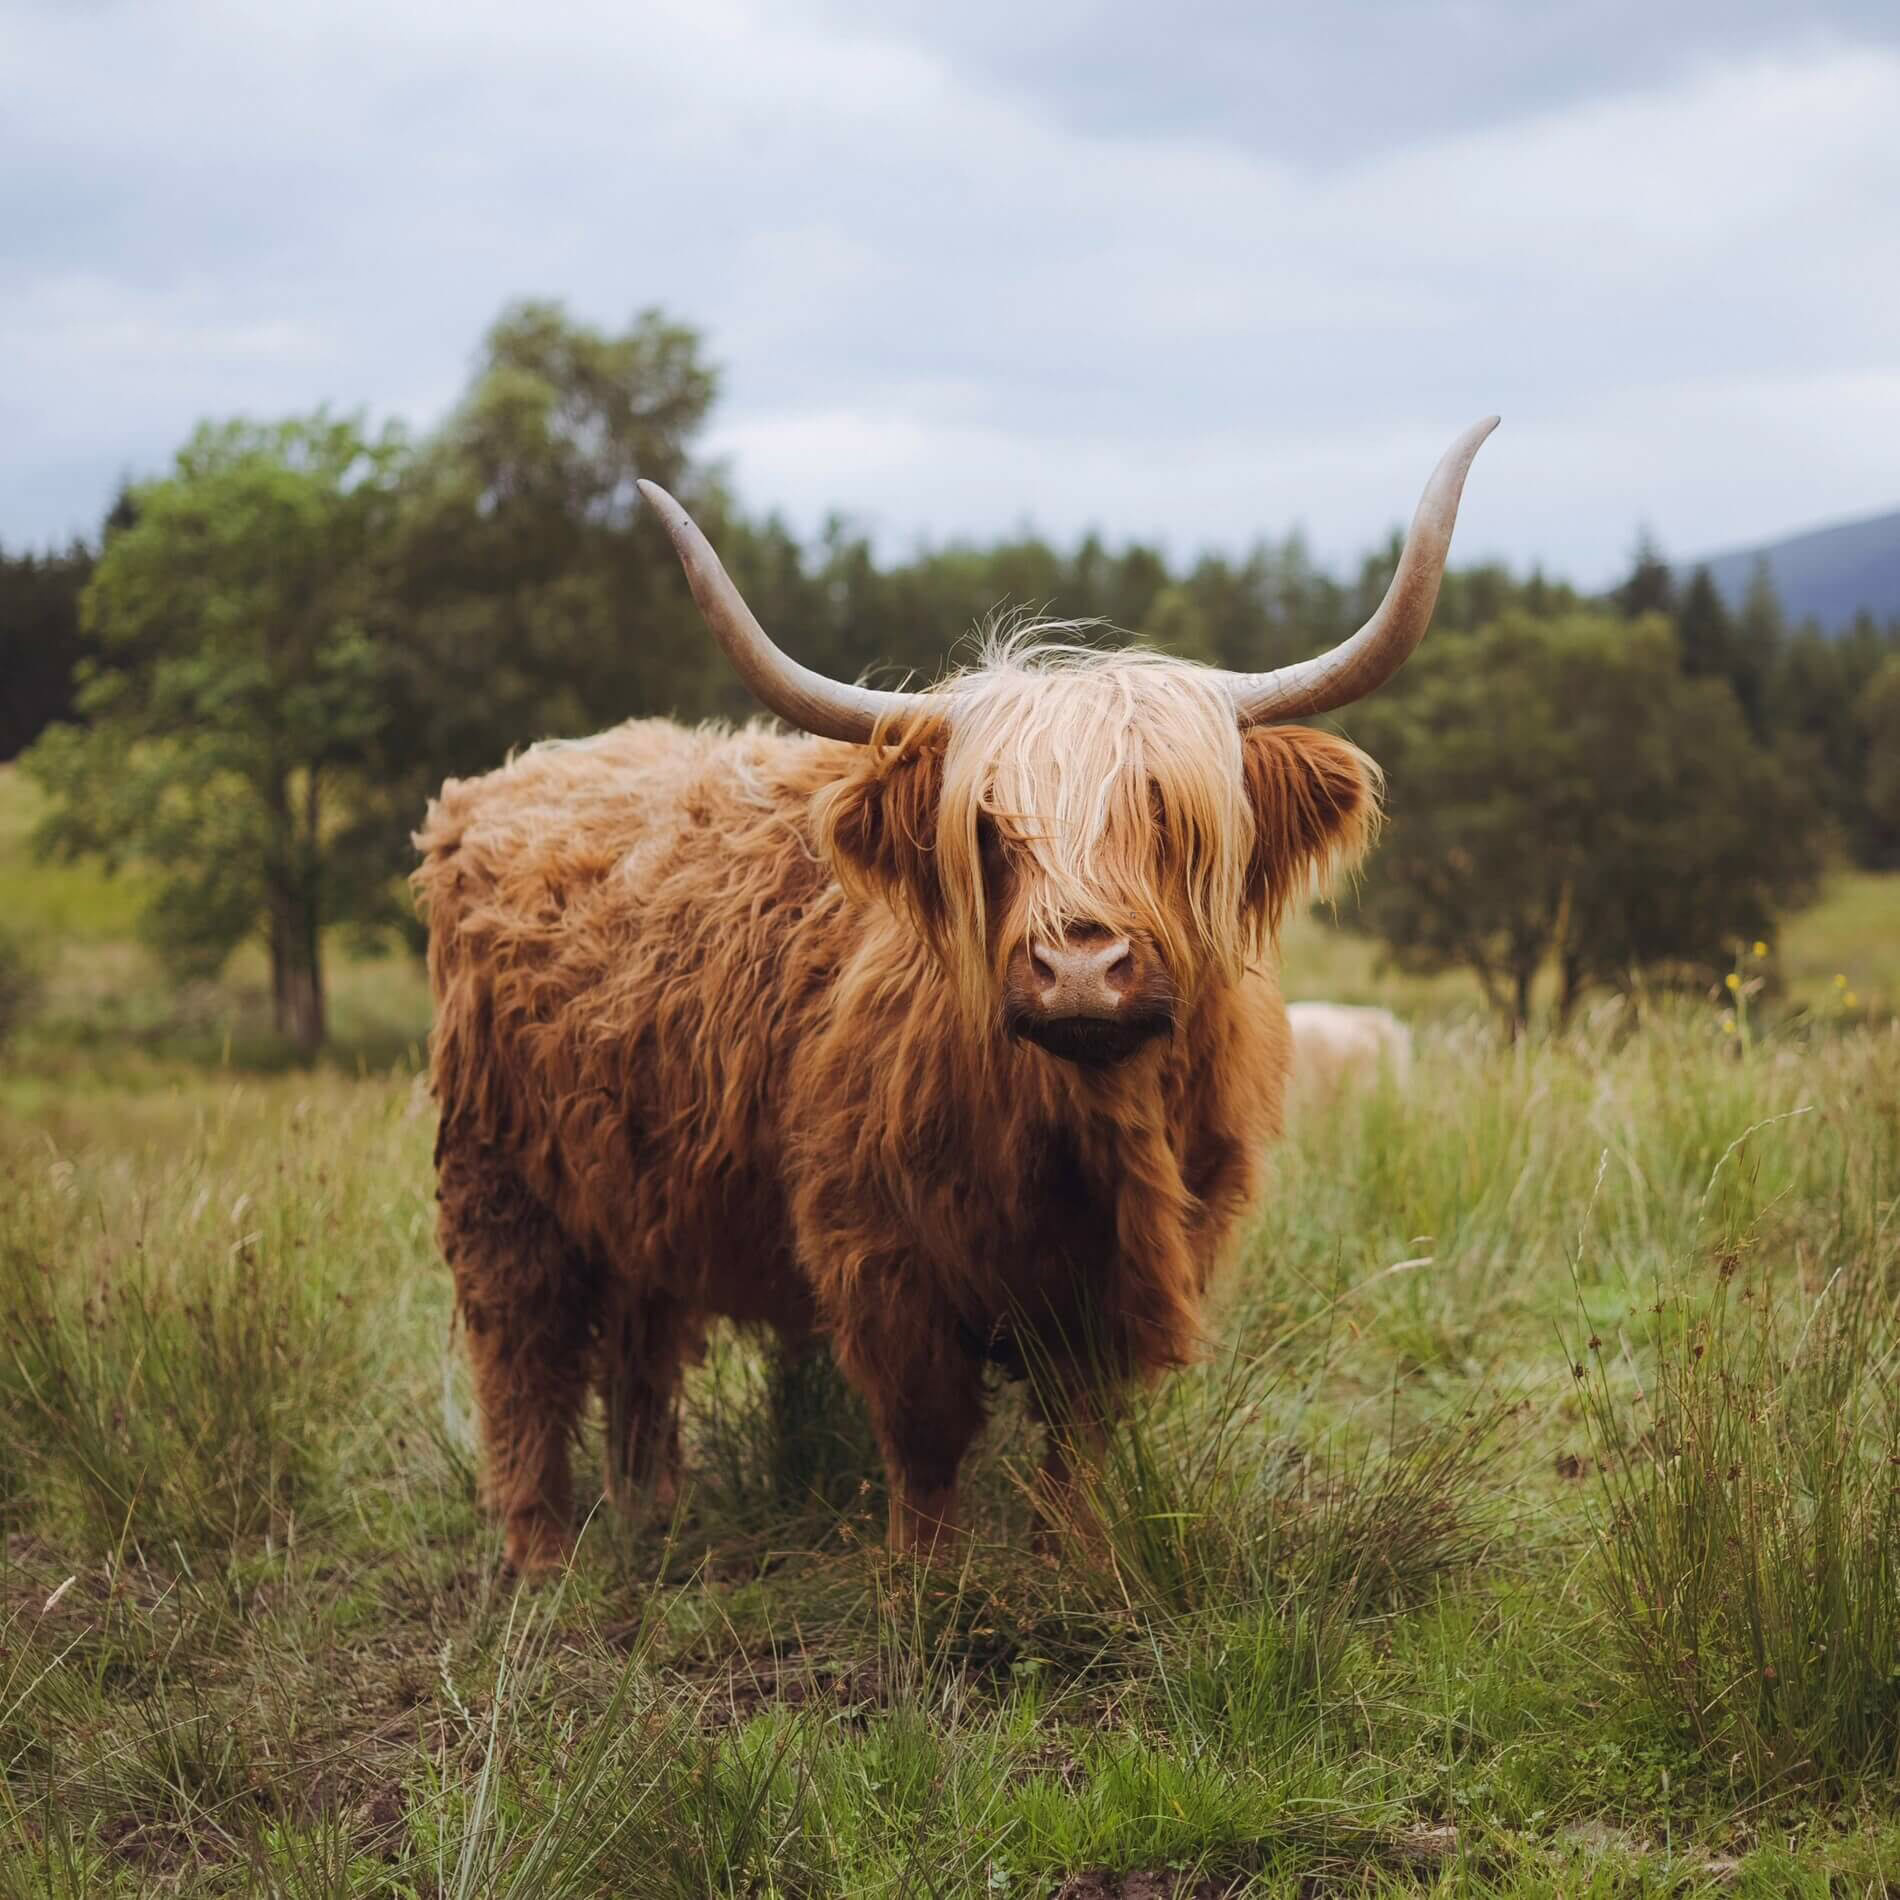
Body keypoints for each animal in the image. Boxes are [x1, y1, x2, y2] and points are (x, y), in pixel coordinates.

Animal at [413, 418, 1496, 1571]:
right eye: (987, 824)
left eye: (1167, 813)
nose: (1079, 968)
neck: (1083, 1134)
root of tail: (515, 776)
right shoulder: (881, 1257)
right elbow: (926, 1439)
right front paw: (928, 1585)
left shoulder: (1127, 1278)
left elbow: (1079, 1439)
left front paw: (1079, 1561)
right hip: (498, 1180)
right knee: (521, 1358)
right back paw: (540, 1557)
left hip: (635, 1184)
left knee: (642, 1345)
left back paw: (650, 1515)